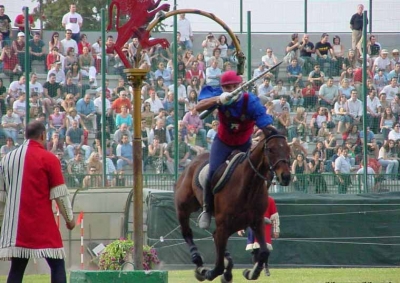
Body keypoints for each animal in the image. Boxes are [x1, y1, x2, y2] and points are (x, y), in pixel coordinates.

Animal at [175, 127, 290, 282]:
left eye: (288, 149)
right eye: (271, 149)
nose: (286, 176)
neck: (248, 187)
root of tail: (192, 163)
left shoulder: (257, 222)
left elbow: (264, 252)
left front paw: (251, 272)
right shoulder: (224, 226)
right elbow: (218, 266)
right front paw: (210, 272)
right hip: (183, 208)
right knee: (187, 233)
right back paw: (198, 263)